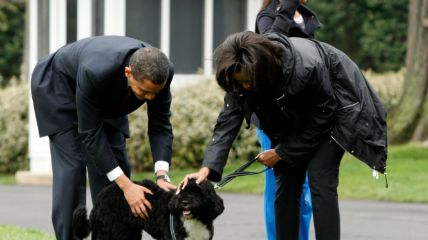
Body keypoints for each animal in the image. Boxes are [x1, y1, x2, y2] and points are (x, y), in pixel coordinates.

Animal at [74, 179, 226, 239]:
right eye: (182, 191)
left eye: (198, 192)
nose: (184, 202)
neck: (194, 219)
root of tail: (99, 198)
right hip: (112, 231)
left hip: (130, 232)